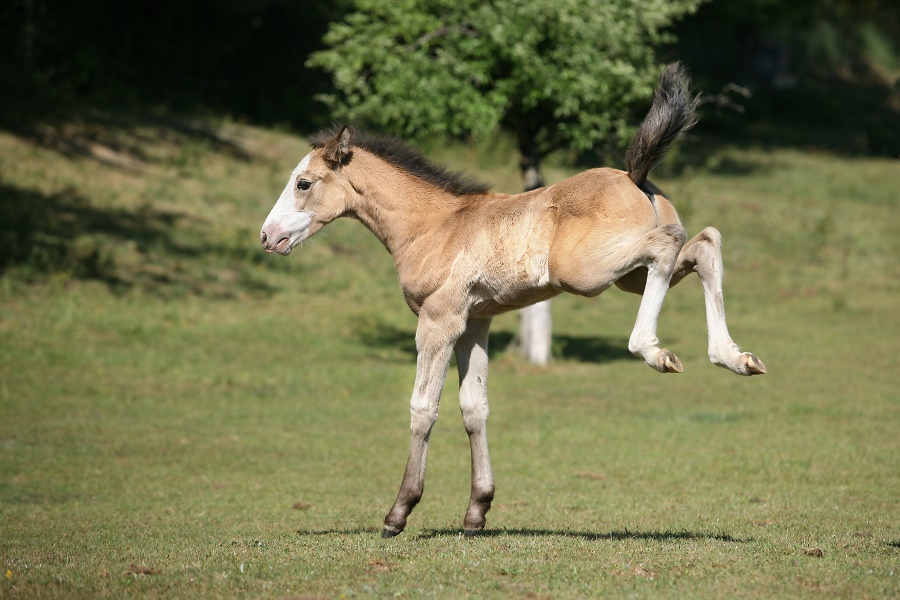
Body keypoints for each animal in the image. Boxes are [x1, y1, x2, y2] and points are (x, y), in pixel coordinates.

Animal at [260, 63, 768, 536]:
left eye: (303, 183)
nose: (268, 236)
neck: (433, 226)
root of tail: (633, 175)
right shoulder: (475, 323)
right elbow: (474, 407)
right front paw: (476, 512)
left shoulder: (439, 320)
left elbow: (423, 408)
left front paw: (398, 513)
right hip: (631, 278)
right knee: (704, 244)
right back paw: (734, 358)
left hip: (588, 272)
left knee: (673, 241)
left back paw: (654, 350)